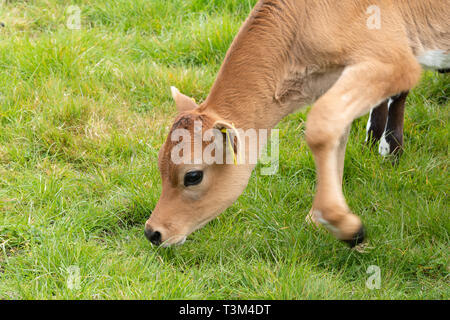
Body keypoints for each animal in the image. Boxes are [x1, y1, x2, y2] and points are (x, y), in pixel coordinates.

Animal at [145, 0, 450, 248]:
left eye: (193, 176)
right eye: (160, 164)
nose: (152, 232)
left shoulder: (394, 61)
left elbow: (320, 127)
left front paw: (343, 224)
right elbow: (335, 133)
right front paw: (320, 218)